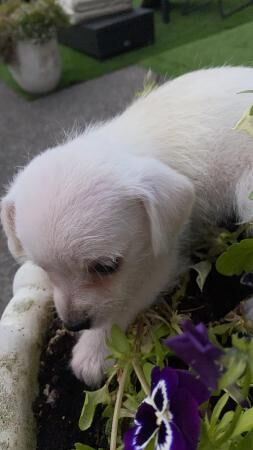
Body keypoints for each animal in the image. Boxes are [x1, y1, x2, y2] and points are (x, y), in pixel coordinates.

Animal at [1, 67, 253, 386]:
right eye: (44, 269)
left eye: (106, 267)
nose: (74, 324)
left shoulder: (161, 260)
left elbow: (122, 302)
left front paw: (92, 351)